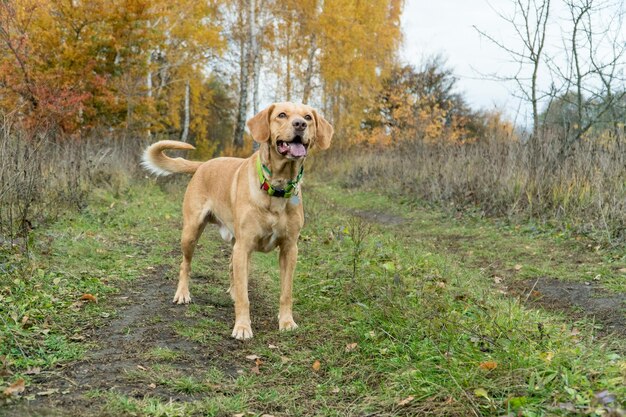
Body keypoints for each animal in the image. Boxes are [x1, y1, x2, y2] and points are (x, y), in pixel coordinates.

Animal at [139, 101, 330, 338]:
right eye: (282, 115)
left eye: (308, 117)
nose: (300, 124)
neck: (277, 186)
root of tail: (203, 164)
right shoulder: (244, 245)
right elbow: (244, 298)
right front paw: (242, 326)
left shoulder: (289, 249)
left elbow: (286, 292)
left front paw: (286, 321)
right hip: (192, 232)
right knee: (186, 264)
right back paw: (183, 293)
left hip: (235, 243)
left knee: (231, 267)